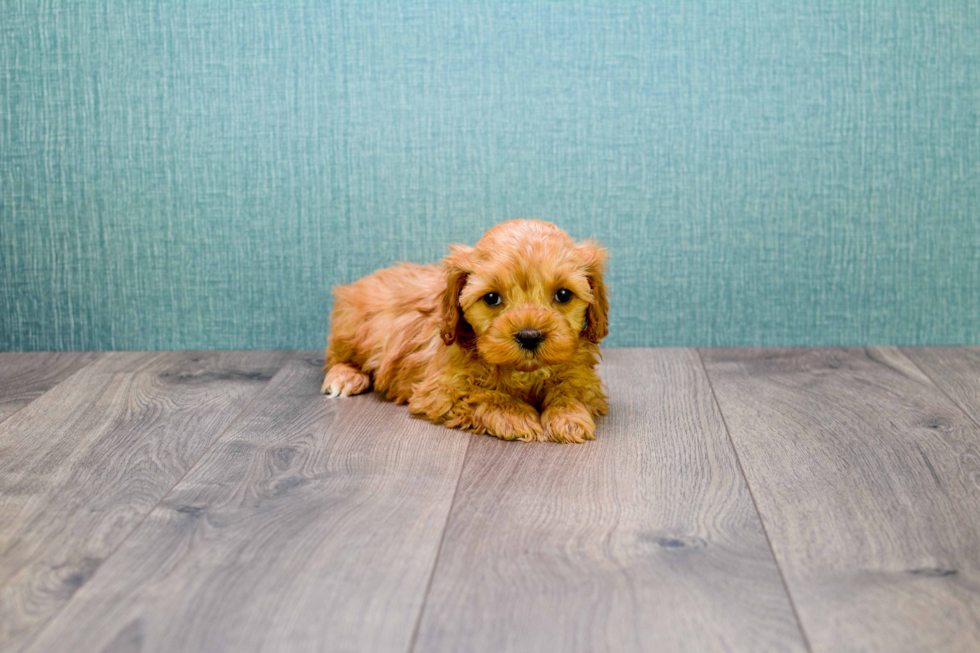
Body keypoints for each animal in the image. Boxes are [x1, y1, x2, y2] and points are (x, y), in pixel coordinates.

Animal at [322, 220, 608, 444]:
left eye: (563, 294)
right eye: (491, 298)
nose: (529, 336)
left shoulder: (583, 378)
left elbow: (571, 390)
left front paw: (567, 417)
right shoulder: (440, 389)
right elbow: (481, 394)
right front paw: (516, 415)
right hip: (352, 329)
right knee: (337, 357)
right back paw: (344, 377)